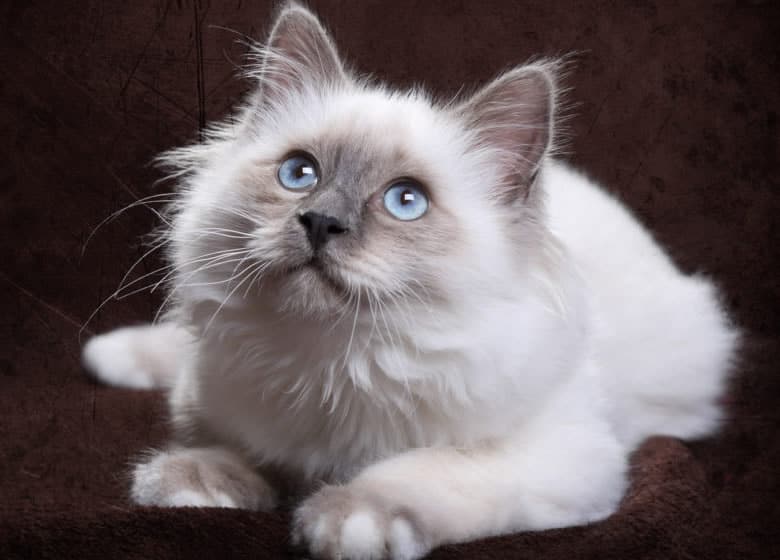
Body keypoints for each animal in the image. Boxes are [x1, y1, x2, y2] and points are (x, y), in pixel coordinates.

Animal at [82, 2, 740, 556]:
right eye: (299, 173)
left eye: (405, 202)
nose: (321, 221)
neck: (333, 361)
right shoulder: (214, 404)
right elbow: (232, 451)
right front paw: (187, 479)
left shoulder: (561, 454)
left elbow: (418, 472)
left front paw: (345, 518)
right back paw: (105, 356)